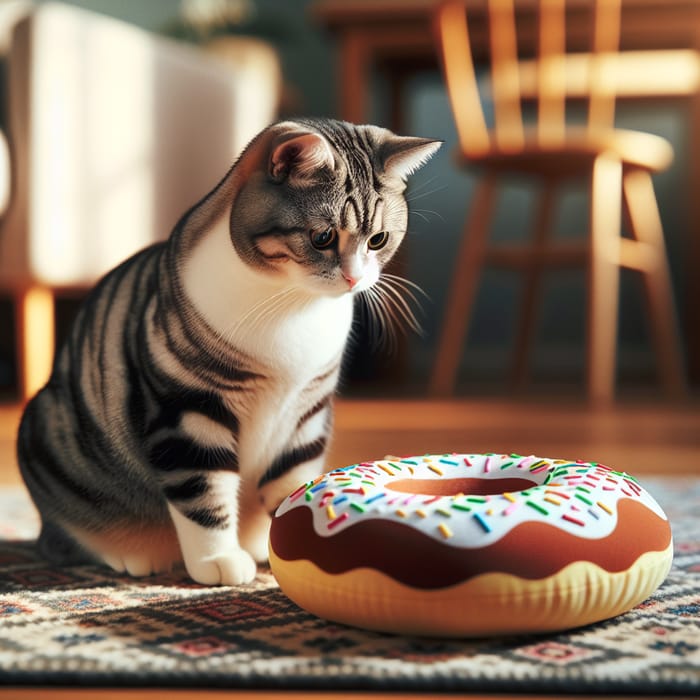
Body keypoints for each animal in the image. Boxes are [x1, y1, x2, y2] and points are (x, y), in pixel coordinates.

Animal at [16, 119, 440, 584]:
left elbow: (292, 482)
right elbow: (203, 493)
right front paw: (218, 561)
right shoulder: (189, 411)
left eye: (378, 239)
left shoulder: (307, 415)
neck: (294, 304)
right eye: (323, 236)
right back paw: (131, 552)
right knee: (69, 532)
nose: (354, 279)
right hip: (51, 434)